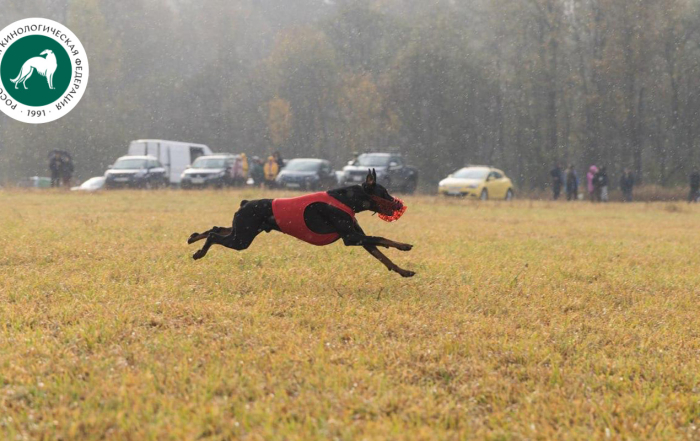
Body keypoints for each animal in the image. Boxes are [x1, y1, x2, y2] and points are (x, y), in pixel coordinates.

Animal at [187, 168, 416, 276]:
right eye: (384, 192)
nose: (399, 205)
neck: (346, 199)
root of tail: (245, 203)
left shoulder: (358, 237)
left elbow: (383, 256)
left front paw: (404, 271)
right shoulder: (351, 237)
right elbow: (382, 238)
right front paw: (404, 245)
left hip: (242, 230)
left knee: (216, 228)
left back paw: (193, 238)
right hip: (242, 238)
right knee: (215, 235)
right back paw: (199, 253)